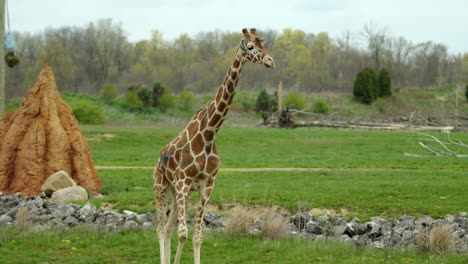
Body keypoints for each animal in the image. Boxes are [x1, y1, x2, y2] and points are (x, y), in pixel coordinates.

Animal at [154, 28, 274, 264]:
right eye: (249, 47)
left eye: (262, 44)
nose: (270, 61)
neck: (208, 134)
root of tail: (158, 159)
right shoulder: (183, 182)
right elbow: (183, 233)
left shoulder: (207, 185)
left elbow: (197, 236)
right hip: (161, 187)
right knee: (160, 229)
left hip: (175, 192)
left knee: (168, 228)